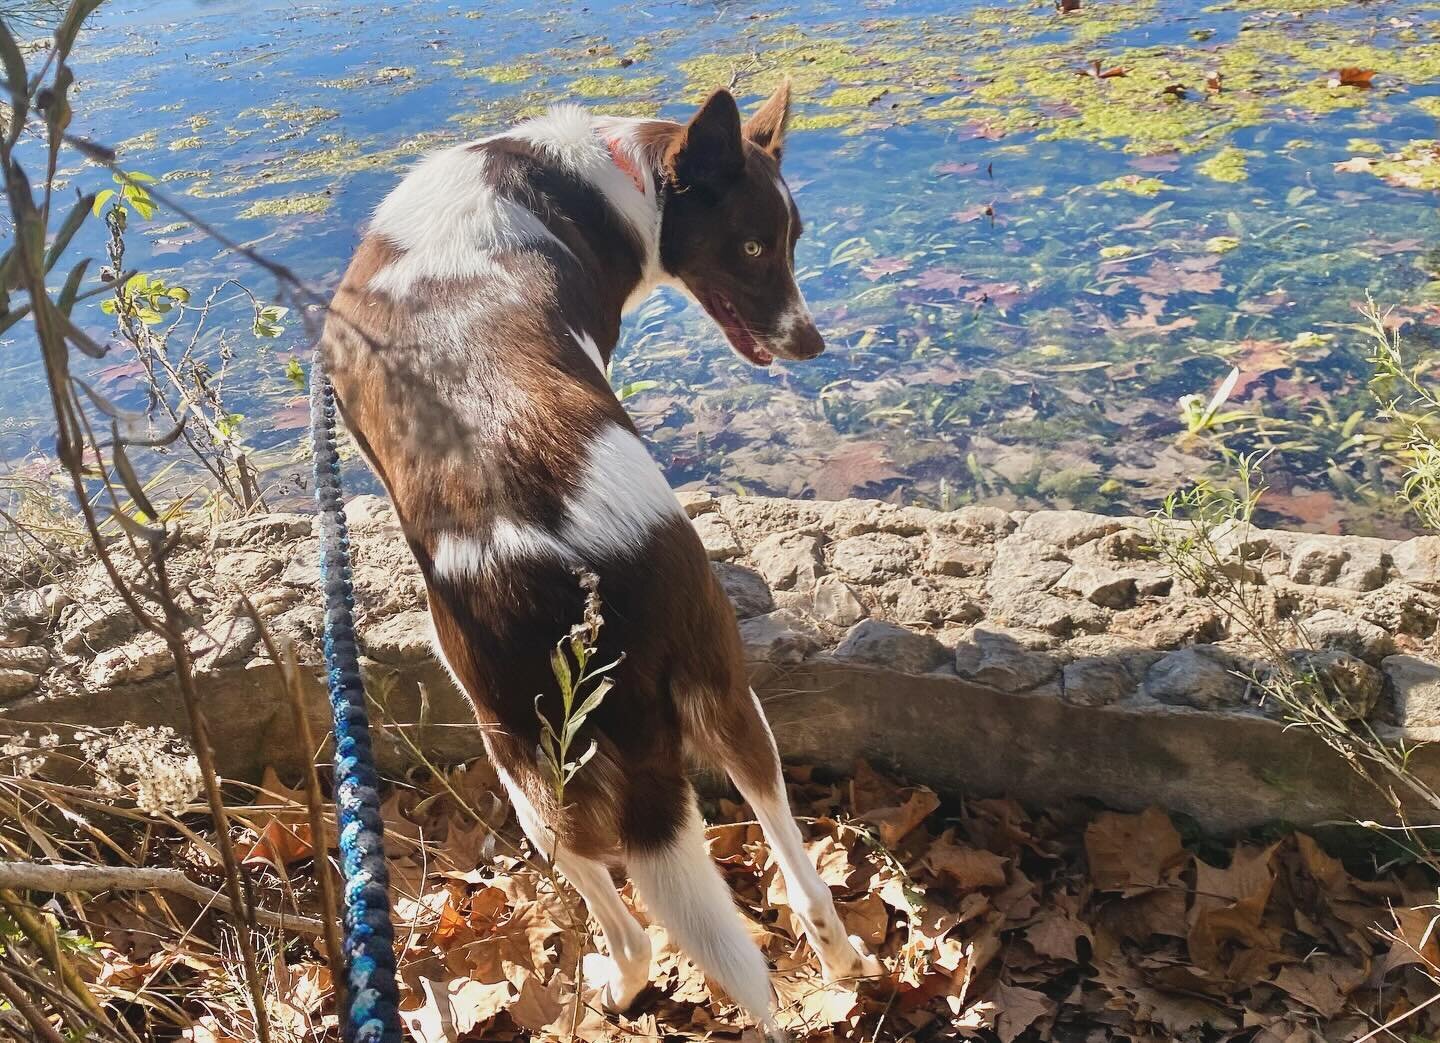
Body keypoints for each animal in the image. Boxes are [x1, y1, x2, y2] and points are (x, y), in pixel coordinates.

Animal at [321, 83, 875, 1037]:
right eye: (758, 244)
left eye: (785, 242)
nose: (811, 346)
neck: (596, 176)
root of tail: (594, 583)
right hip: (729, 698)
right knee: (797, 871)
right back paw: (838, 957)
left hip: (527, 773)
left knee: (635, 930)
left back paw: (612, 987)